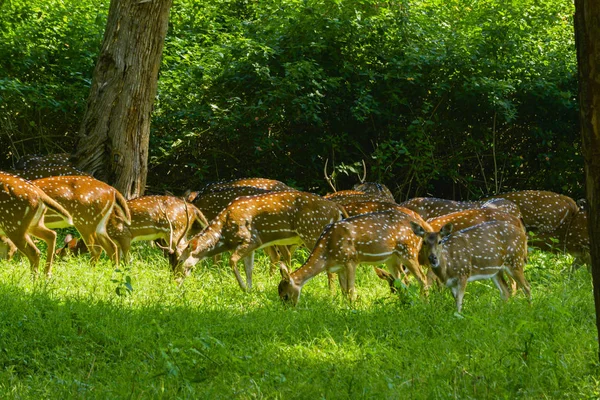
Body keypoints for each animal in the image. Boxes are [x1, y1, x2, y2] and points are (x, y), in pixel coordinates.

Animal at [173, 191, 346, 290]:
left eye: (180, 260)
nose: (175, 280)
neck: (224, 234)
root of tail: (336, 209)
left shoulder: (251, 239)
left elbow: (232, 260)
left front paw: (243, 287)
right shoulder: (252, 247)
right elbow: (249, 268)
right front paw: (250, 290)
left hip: (312, 232)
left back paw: (331, 293)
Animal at [278, 209, 428, 306]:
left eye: (285, 296)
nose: (287, 310)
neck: (327, 253)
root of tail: (420, 226)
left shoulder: (350, 259)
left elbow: (350, 290)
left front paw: (352, 309)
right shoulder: (338, 267)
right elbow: (344, 291)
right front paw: (344, 308)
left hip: (409, 250)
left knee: (422, 278)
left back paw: (424, 303)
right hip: (392, 258)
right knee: (403, 281)